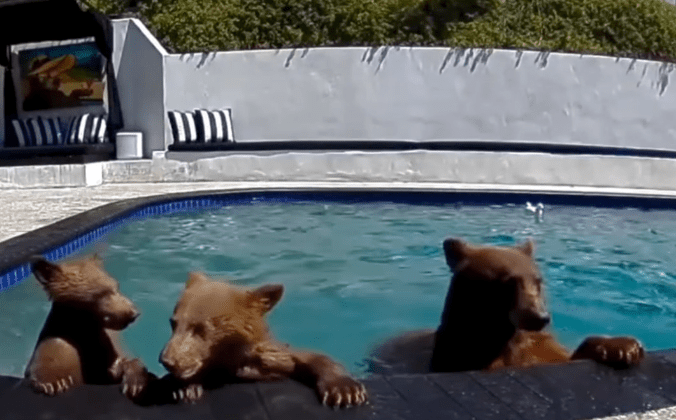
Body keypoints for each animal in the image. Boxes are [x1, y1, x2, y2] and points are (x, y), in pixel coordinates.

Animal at [26, 255, 152, 401]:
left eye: (117, 286)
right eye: (102, 293)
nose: (134, 313)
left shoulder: (104, 352)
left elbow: (123, 364)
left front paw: (135, 382)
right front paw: (53, 383)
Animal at [159, 272, 368, 408]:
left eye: (199, 328)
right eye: (173, 323)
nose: (166, 360)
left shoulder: (271, 358)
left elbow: (305, 357)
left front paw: (346, 391)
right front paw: (185, 388)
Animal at [369, 238, 645, 374]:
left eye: (538, 281)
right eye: (507, 282)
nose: (539, 317)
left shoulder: (538, 345)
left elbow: (562, 355)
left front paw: (622, 346)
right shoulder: (459, 353)